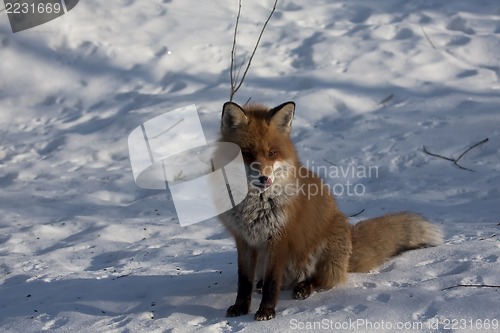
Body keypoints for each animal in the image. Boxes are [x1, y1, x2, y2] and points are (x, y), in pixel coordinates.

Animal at [218, 100, 442, 320]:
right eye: (246, 154)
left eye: (272, 153)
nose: (264, 178)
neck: (254, 205)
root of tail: (348, 250)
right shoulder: (243, 240)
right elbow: (244, 281)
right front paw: (241, 307)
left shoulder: (279, 238)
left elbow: (273, 282)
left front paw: (266, 311)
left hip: (323, 251)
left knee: (322, 279)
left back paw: (304, 288)